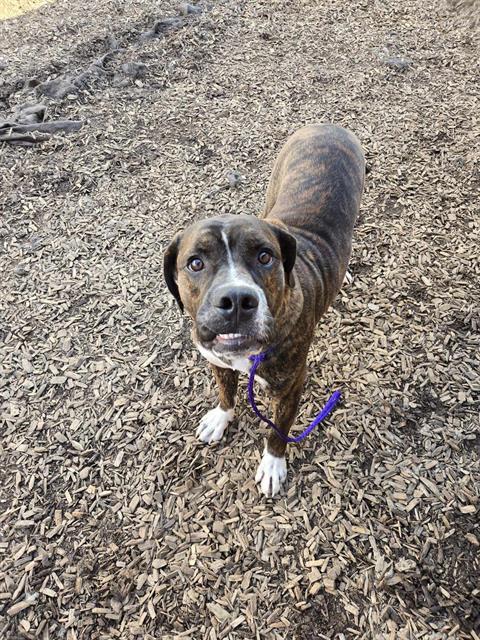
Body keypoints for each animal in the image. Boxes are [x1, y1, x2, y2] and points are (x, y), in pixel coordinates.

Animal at [163, 124, 366, 496]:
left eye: (264, 256)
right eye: (195, 263)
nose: (236, 300)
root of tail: (328, 126)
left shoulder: (291, 386)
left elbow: (278, 429)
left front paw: (273, 464)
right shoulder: (217, 361)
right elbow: (226, 391)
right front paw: (221, 416)